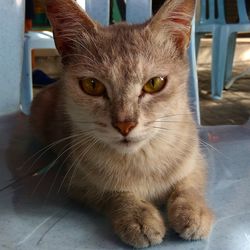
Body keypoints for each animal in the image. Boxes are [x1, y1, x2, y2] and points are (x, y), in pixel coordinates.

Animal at [30, 0, 214, 247]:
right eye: (92, 85)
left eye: (155, 83)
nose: (125, 125)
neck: (142, 160)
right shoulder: (80, 182)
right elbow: (117, 194)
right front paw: (139, 218)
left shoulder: (195, 162)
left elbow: (188, 187)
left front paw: (193, 212)